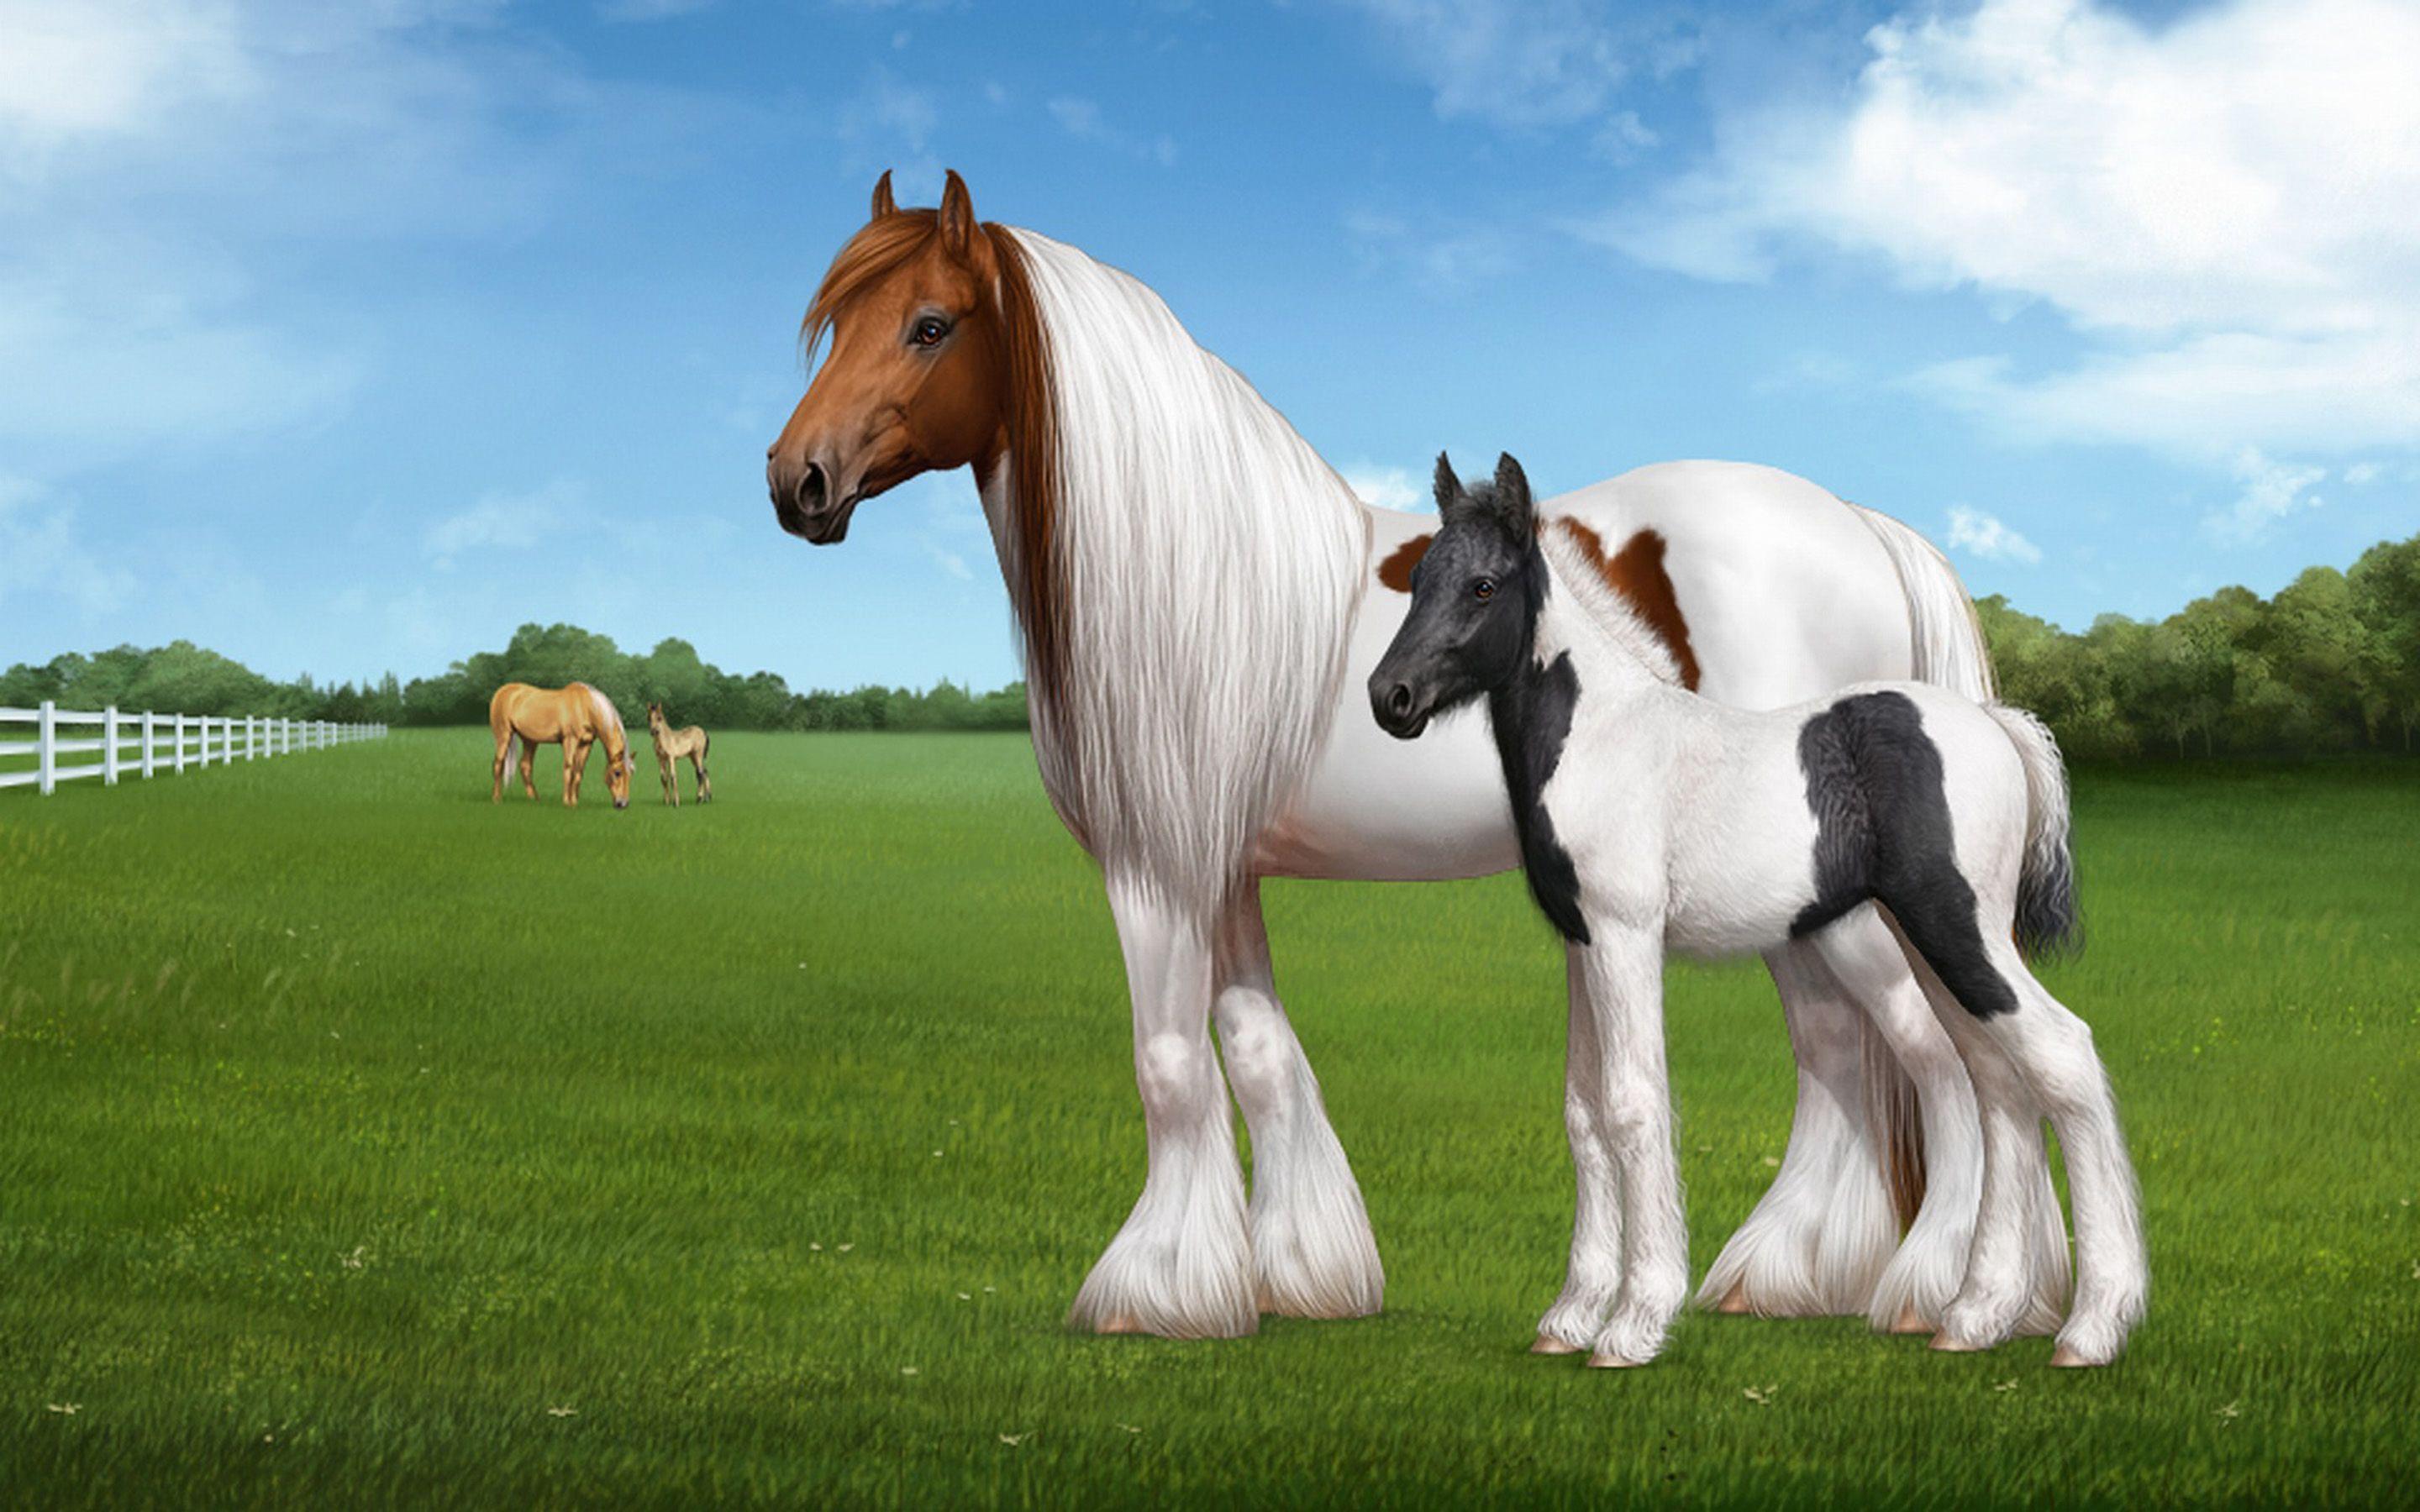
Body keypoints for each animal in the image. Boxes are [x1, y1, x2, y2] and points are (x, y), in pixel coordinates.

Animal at [489, 682, 634, 810]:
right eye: (617, 773)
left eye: (631, 773)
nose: (623, 804)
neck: (586, 707)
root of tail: (503, 690)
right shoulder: (570, 740)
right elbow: (569, 768)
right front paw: (566, 802)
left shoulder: (586, 744)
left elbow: (578, 772)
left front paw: (575, 802)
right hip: (504, 735)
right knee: (498, 763)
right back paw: (496, 799)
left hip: (529, 740)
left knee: (525, 765)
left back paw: (535, 799)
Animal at [765, 170, 2068, 1341]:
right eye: (838, 323)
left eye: (931, 325)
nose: (797, 481)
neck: (1192, 574)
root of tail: (1867, 529)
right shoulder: (1223, 870)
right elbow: (1261, 1055)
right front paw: (1301, 1275)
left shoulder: (1157, 870)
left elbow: (1171, 1064)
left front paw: (1157, 1296)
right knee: (1854, 1055)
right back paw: (1793, 1277)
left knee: (1944, 1061)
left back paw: (1931, 1296)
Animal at [1369, 454, 2145, 1368]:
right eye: (1418, 578)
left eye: (1484, 585)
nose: (1390, 698)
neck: (1602, 735)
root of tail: (1999, 726)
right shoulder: (1581, 942)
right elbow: (1584, 1113)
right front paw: (1569, 1318)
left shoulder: (1627, 937)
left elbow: (1635, 1104)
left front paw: (1633, 1324)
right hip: (1927, 940)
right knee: (1999, 1083)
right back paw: (1973, 1317)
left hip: (1958, 929)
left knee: (2062, 1056)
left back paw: (2091, 1329)